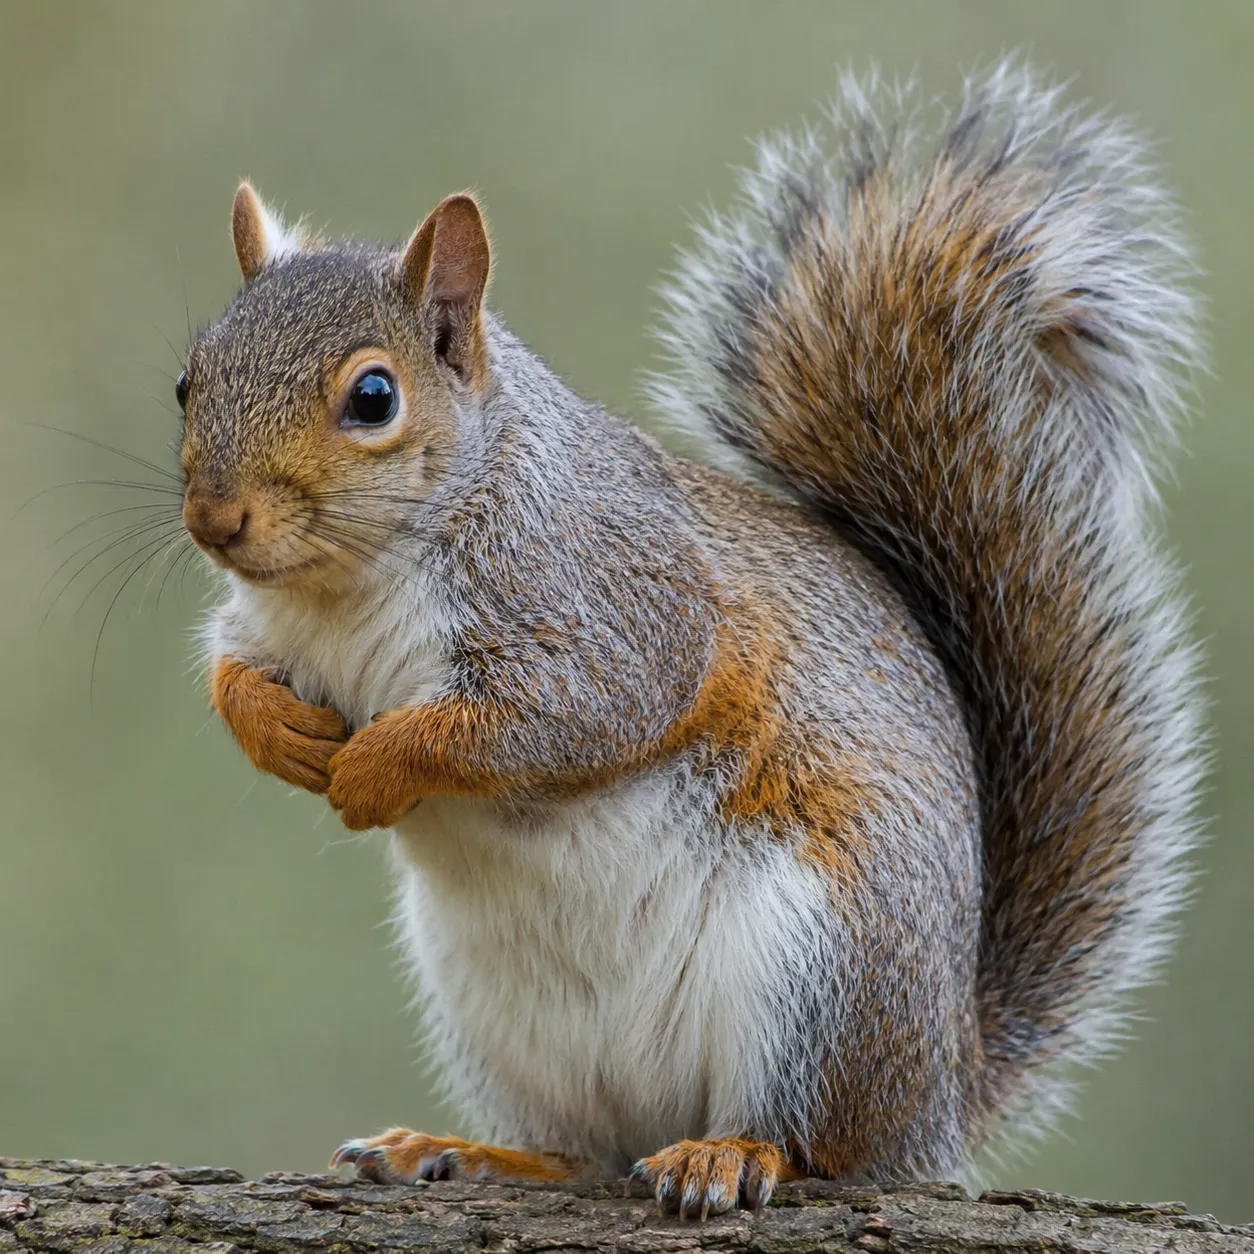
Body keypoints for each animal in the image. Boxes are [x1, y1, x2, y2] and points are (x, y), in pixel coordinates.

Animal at [176, 63, 1204, 1216]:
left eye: (372, 397)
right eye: (188, 379)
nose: (215, 521)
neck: (348, 583)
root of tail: (940, 1092)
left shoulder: (618, 610)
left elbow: (547, 719)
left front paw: (375, 766)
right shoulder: (265, 620)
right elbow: (230, 672)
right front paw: (279, 733)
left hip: (822, 972)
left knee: (817, 1145)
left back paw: (733, 1154)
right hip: (505, 1019)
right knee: (587, 1150)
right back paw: (469, 1151)